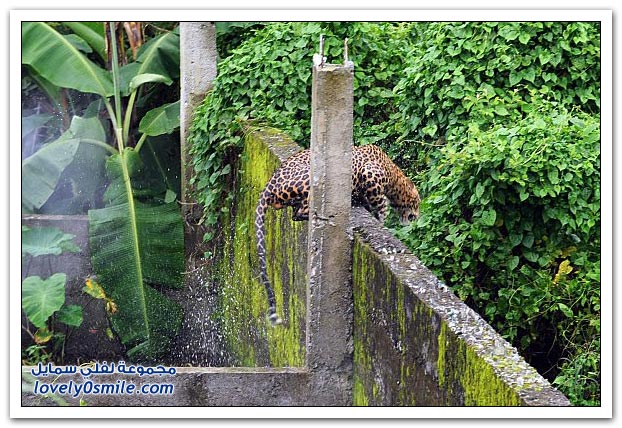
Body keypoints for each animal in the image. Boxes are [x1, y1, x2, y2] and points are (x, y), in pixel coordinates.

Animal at [255, 144, 424, 324]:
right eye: (418, 202)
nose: (416, 217)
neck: (394, 175)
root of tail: (270, 183)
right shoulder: (370, 174)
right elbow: (381, 206)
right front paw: (381, 220)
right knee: (301, 211)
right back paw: (325, 216)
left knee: (295, 213)